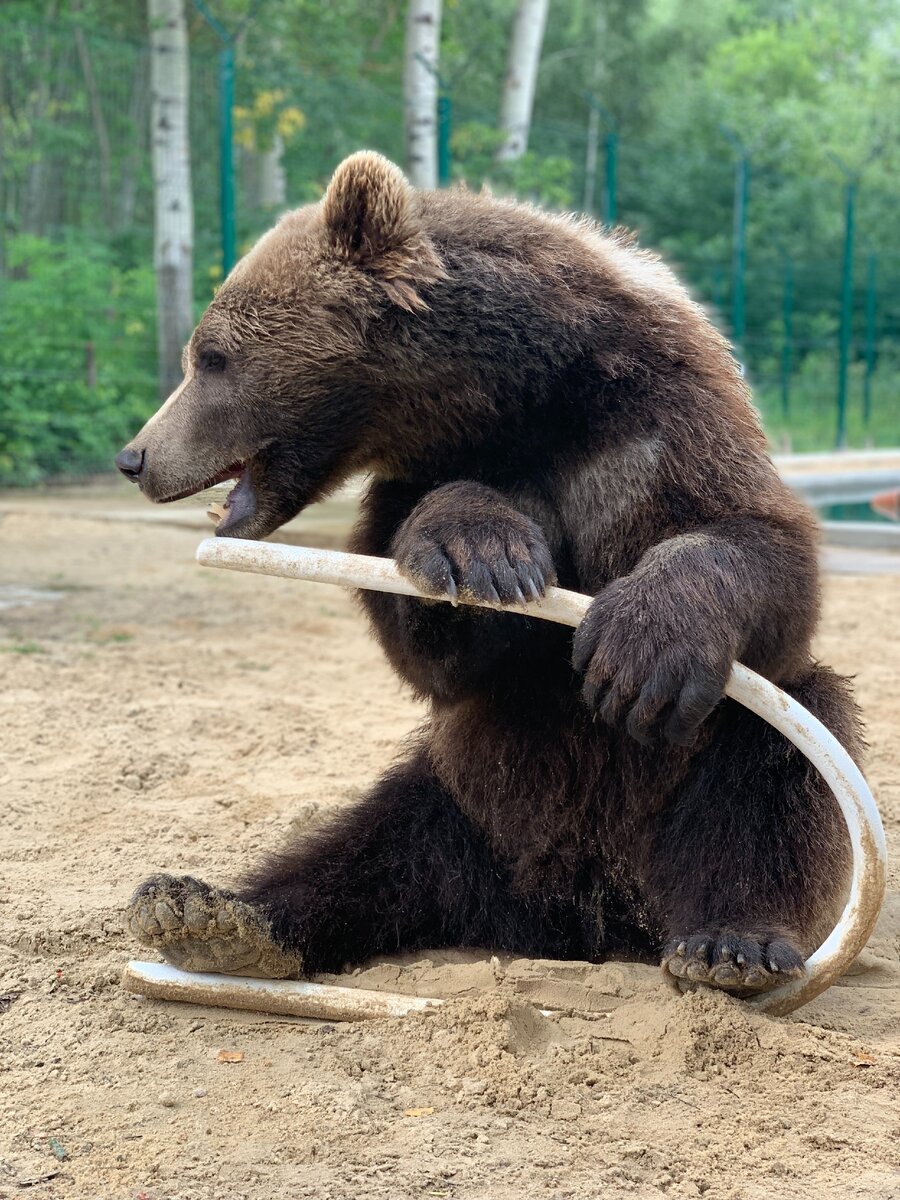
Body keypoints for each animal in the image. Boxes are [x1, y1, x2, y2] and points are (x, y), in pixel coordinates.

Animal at [116, 152, 864, 993]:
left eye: (211, 357)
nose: (135, 457)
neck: (515, 397)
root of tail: (571, 916)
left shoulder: (660, 419)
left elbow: (762, 547)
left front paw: (637, 645)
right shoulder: (417, 484)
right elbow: (426, 636)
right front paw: (484, 552)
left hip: (667, 801)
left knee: (769, 772)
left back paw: (730, 942)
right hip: (465, 804)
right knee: (369, 846)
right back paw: (217, 915)